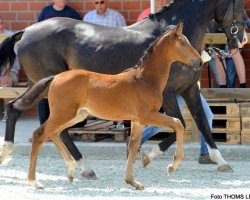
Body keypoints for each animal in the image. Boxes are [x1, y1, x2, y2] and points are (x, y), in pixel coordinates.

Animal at [14, 21, 200, 189]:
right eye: (182, 43)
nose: (199, 62)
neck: (145, 80)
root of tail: (56, 77)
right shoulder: (148, 115)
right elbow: (178, 124)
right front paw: (172, 166)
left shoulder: (137, 121)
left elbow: (133, 146)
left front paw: (132, 181)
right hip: (63, 114)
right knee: (40, 134)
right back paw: (35, 181)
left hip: (76, 115)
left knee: (55, 133)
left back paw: (71, 170)